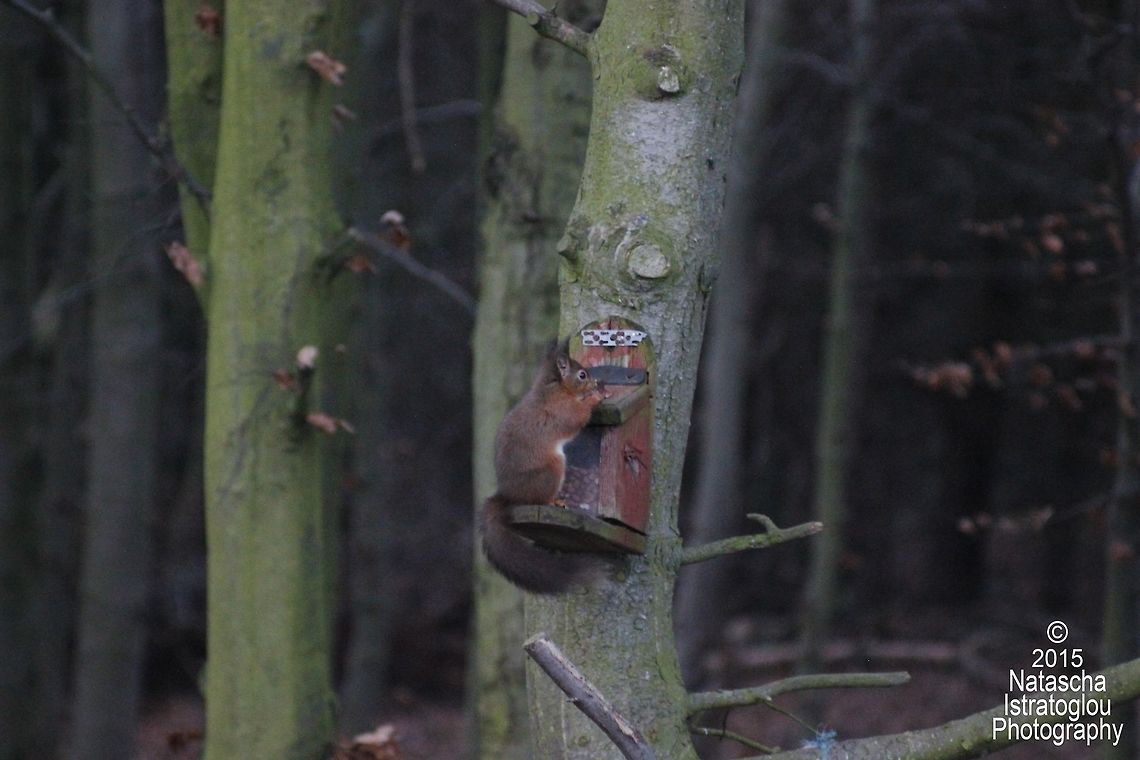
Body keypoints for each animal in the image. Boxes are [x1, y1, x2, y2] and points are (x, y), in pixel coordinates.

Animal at [480, 341, 608, 594]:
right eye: (582, 375)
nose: (595, 382)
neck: (553, 389)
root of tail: (509, 496)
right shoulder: (562, 411)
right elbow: (577, 417)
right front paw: (595, 397)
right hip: (552, 470)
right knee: (541, 498)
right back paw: (554, 501)